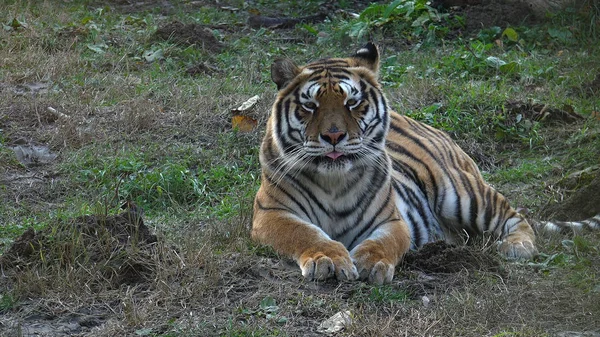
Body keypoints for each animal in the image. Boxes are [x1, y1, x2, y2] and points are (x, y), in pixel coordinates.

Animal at [252, 42, 600, 284]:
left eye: (352, 102)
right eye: (310, 106)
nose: (334, 136)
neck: (334, 181)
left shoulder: (392, 219)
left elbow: (385, 243)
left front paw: (371, 262)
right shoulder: (272, 214)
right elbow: (305, 234)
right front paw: (329, 259)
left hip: (463, 194)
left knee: (515, 216)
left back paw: (517, 246)